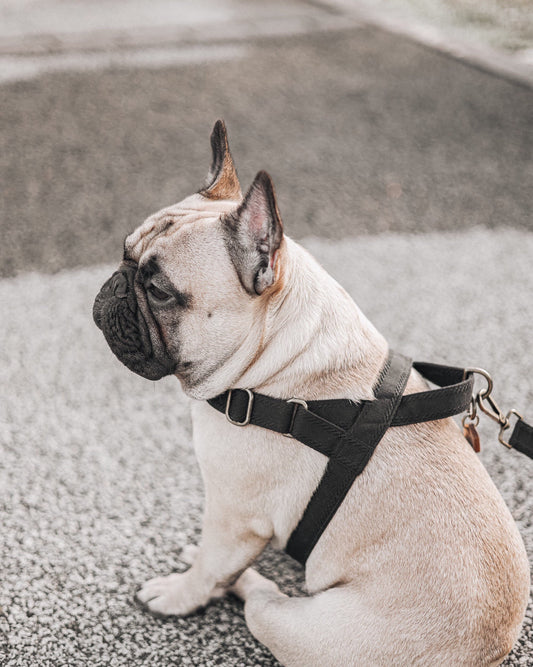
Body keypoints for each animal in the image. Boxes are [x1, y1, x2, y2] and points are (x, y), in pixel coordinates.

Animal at [93, 121, 528, 667]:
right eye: (124, 252)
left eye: (159, 291)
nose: (115, 284)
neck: (276, 355)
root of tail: (488, 650)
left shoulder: (234, 515)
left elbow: (211, 570)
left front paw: (179, 594)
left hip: (300, 625)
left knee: (260, 600)